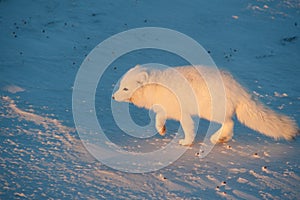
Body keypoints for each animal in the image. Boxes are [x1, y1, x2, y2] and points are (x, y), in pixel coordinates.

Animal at [112, 65, 298, 145]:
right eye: (121, 86)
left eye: (125, 88)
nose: (113, 96)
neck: (157, 86)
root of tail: (239, 87)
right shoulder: (167, 108)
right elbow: (159, 118)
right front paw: (162, 130)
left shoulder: (182, 112)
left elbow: (188, 127)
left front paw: (186, 142)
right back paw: (221, 138)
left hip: (212, 111)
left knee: (229, 123)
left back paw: (217, 137)